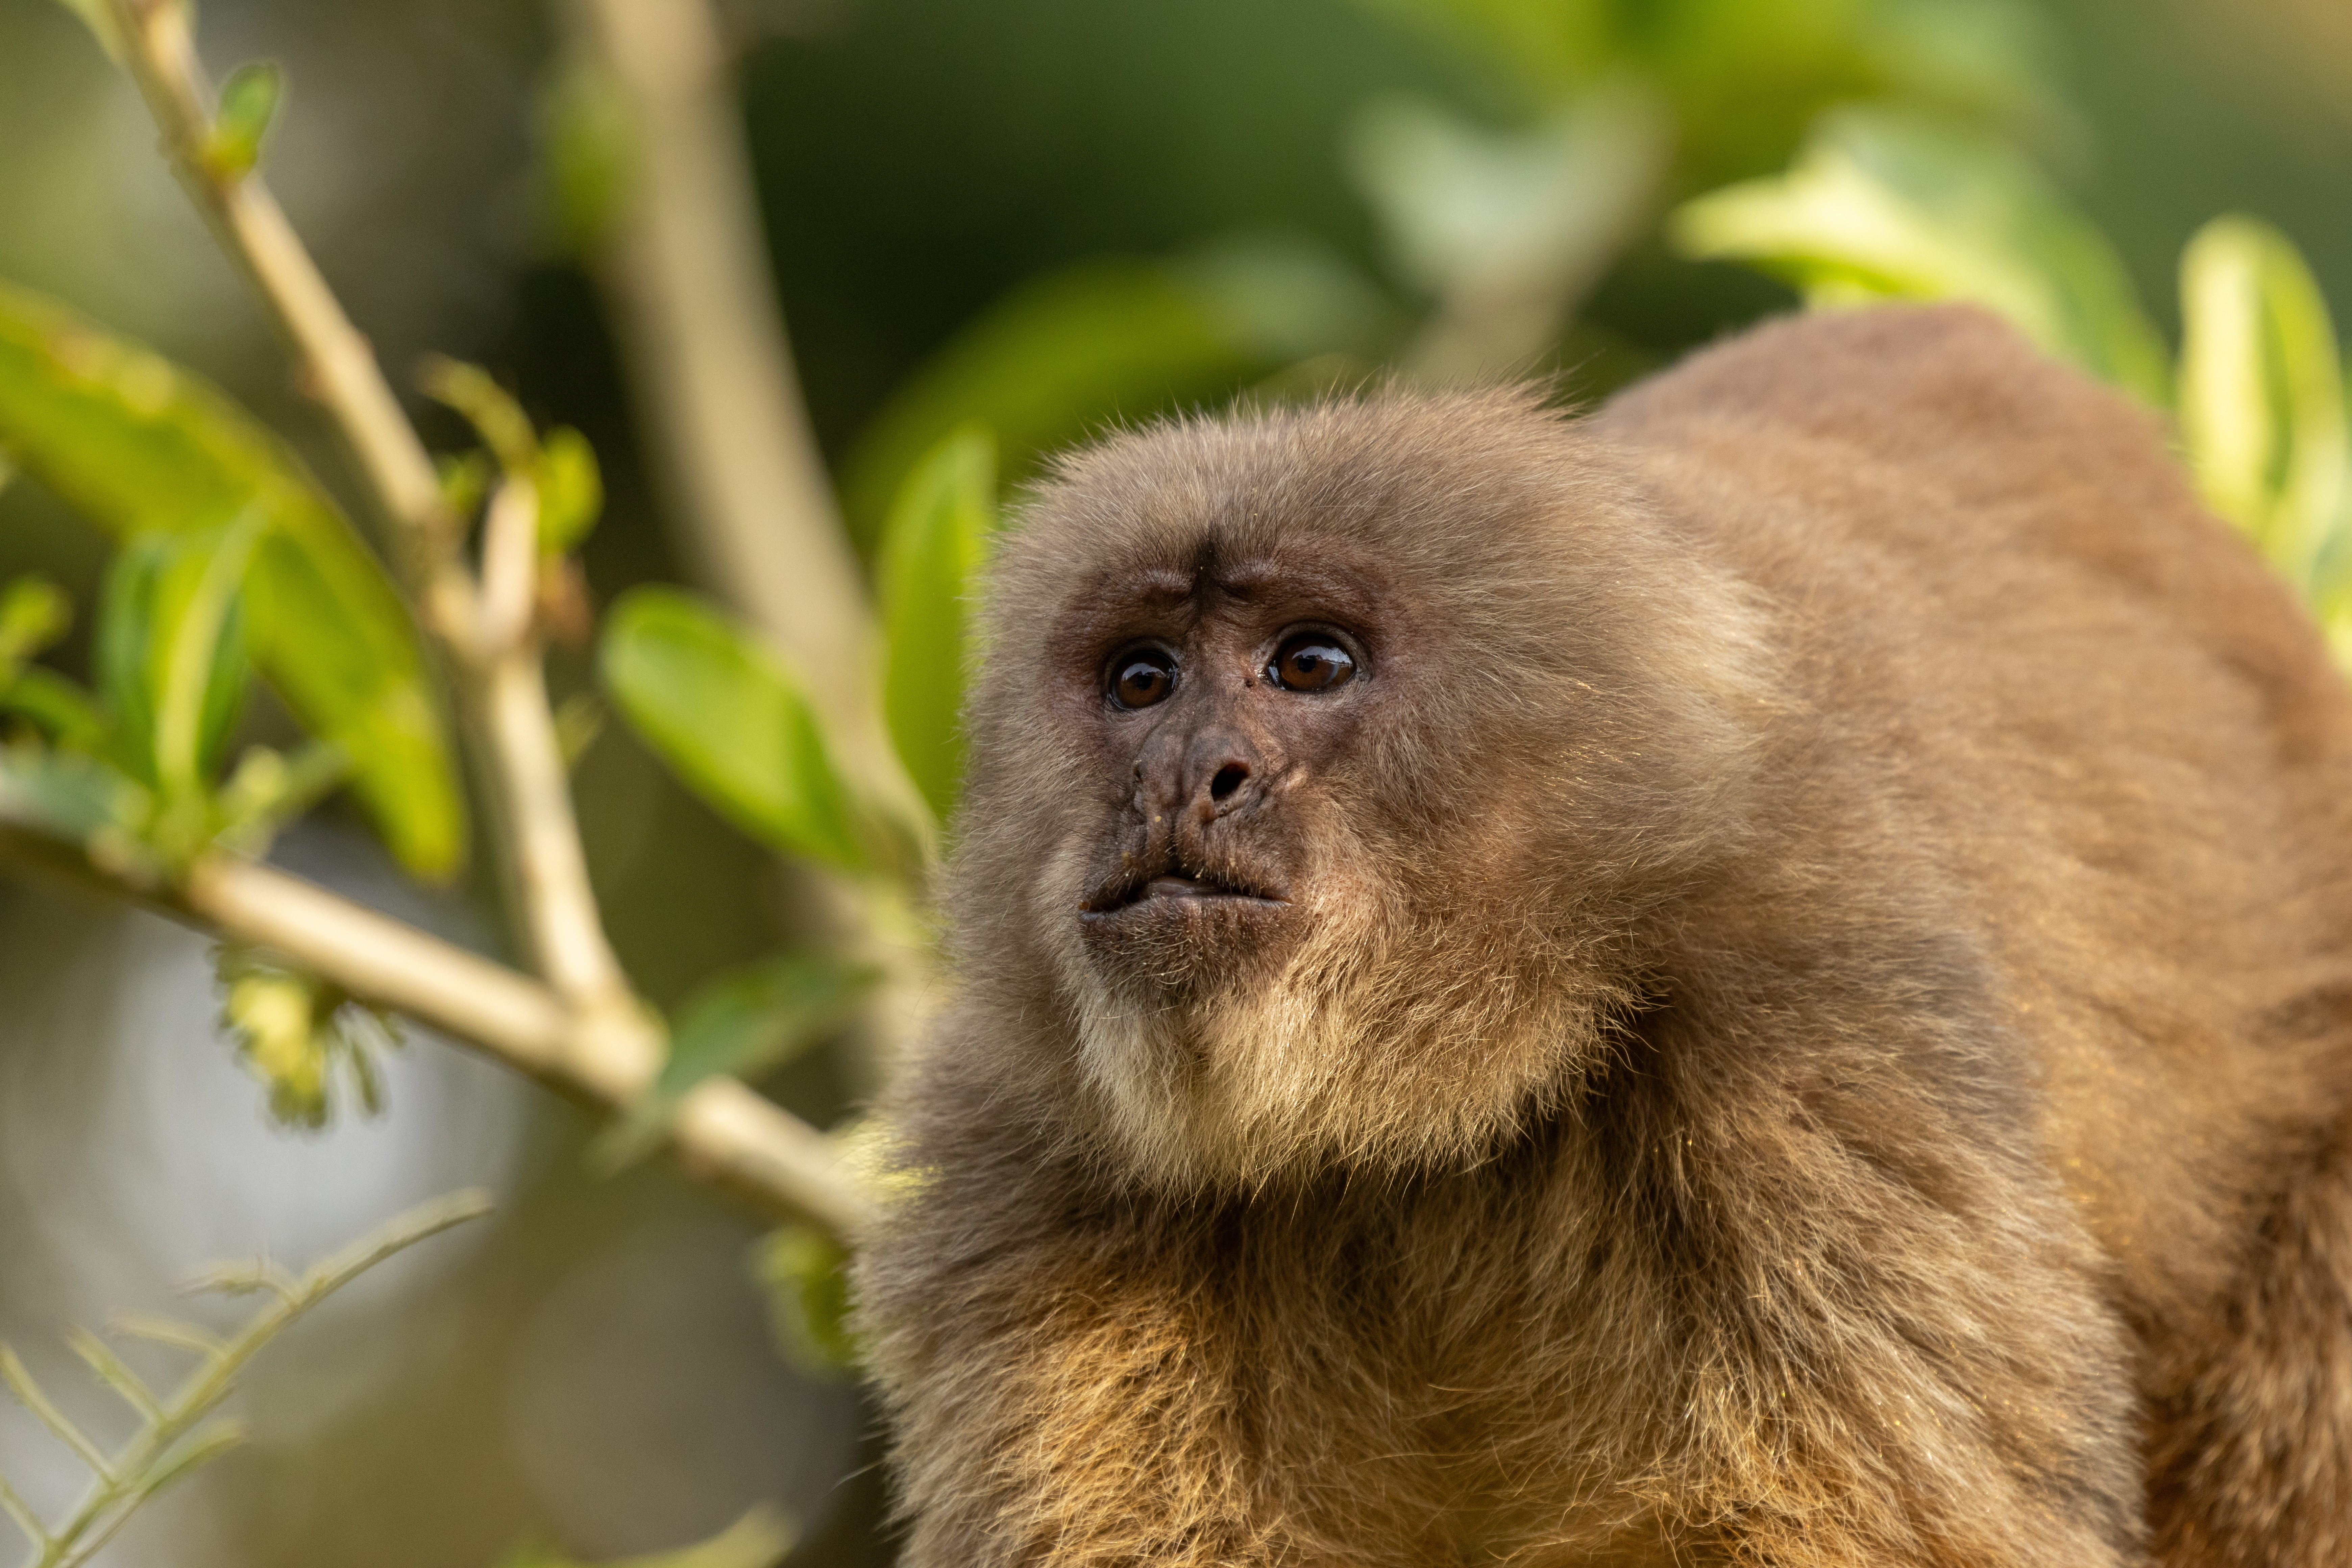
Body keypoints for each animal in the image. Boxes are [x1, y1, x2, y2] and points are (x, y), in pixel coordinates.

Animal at [851, 302, 2352, 1567]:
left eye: (1308, 663)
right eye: (1142, 681)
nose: (1181, 777)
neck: (1428, 1120)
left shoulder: (1813, 1047)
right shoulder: (1030, 1149)